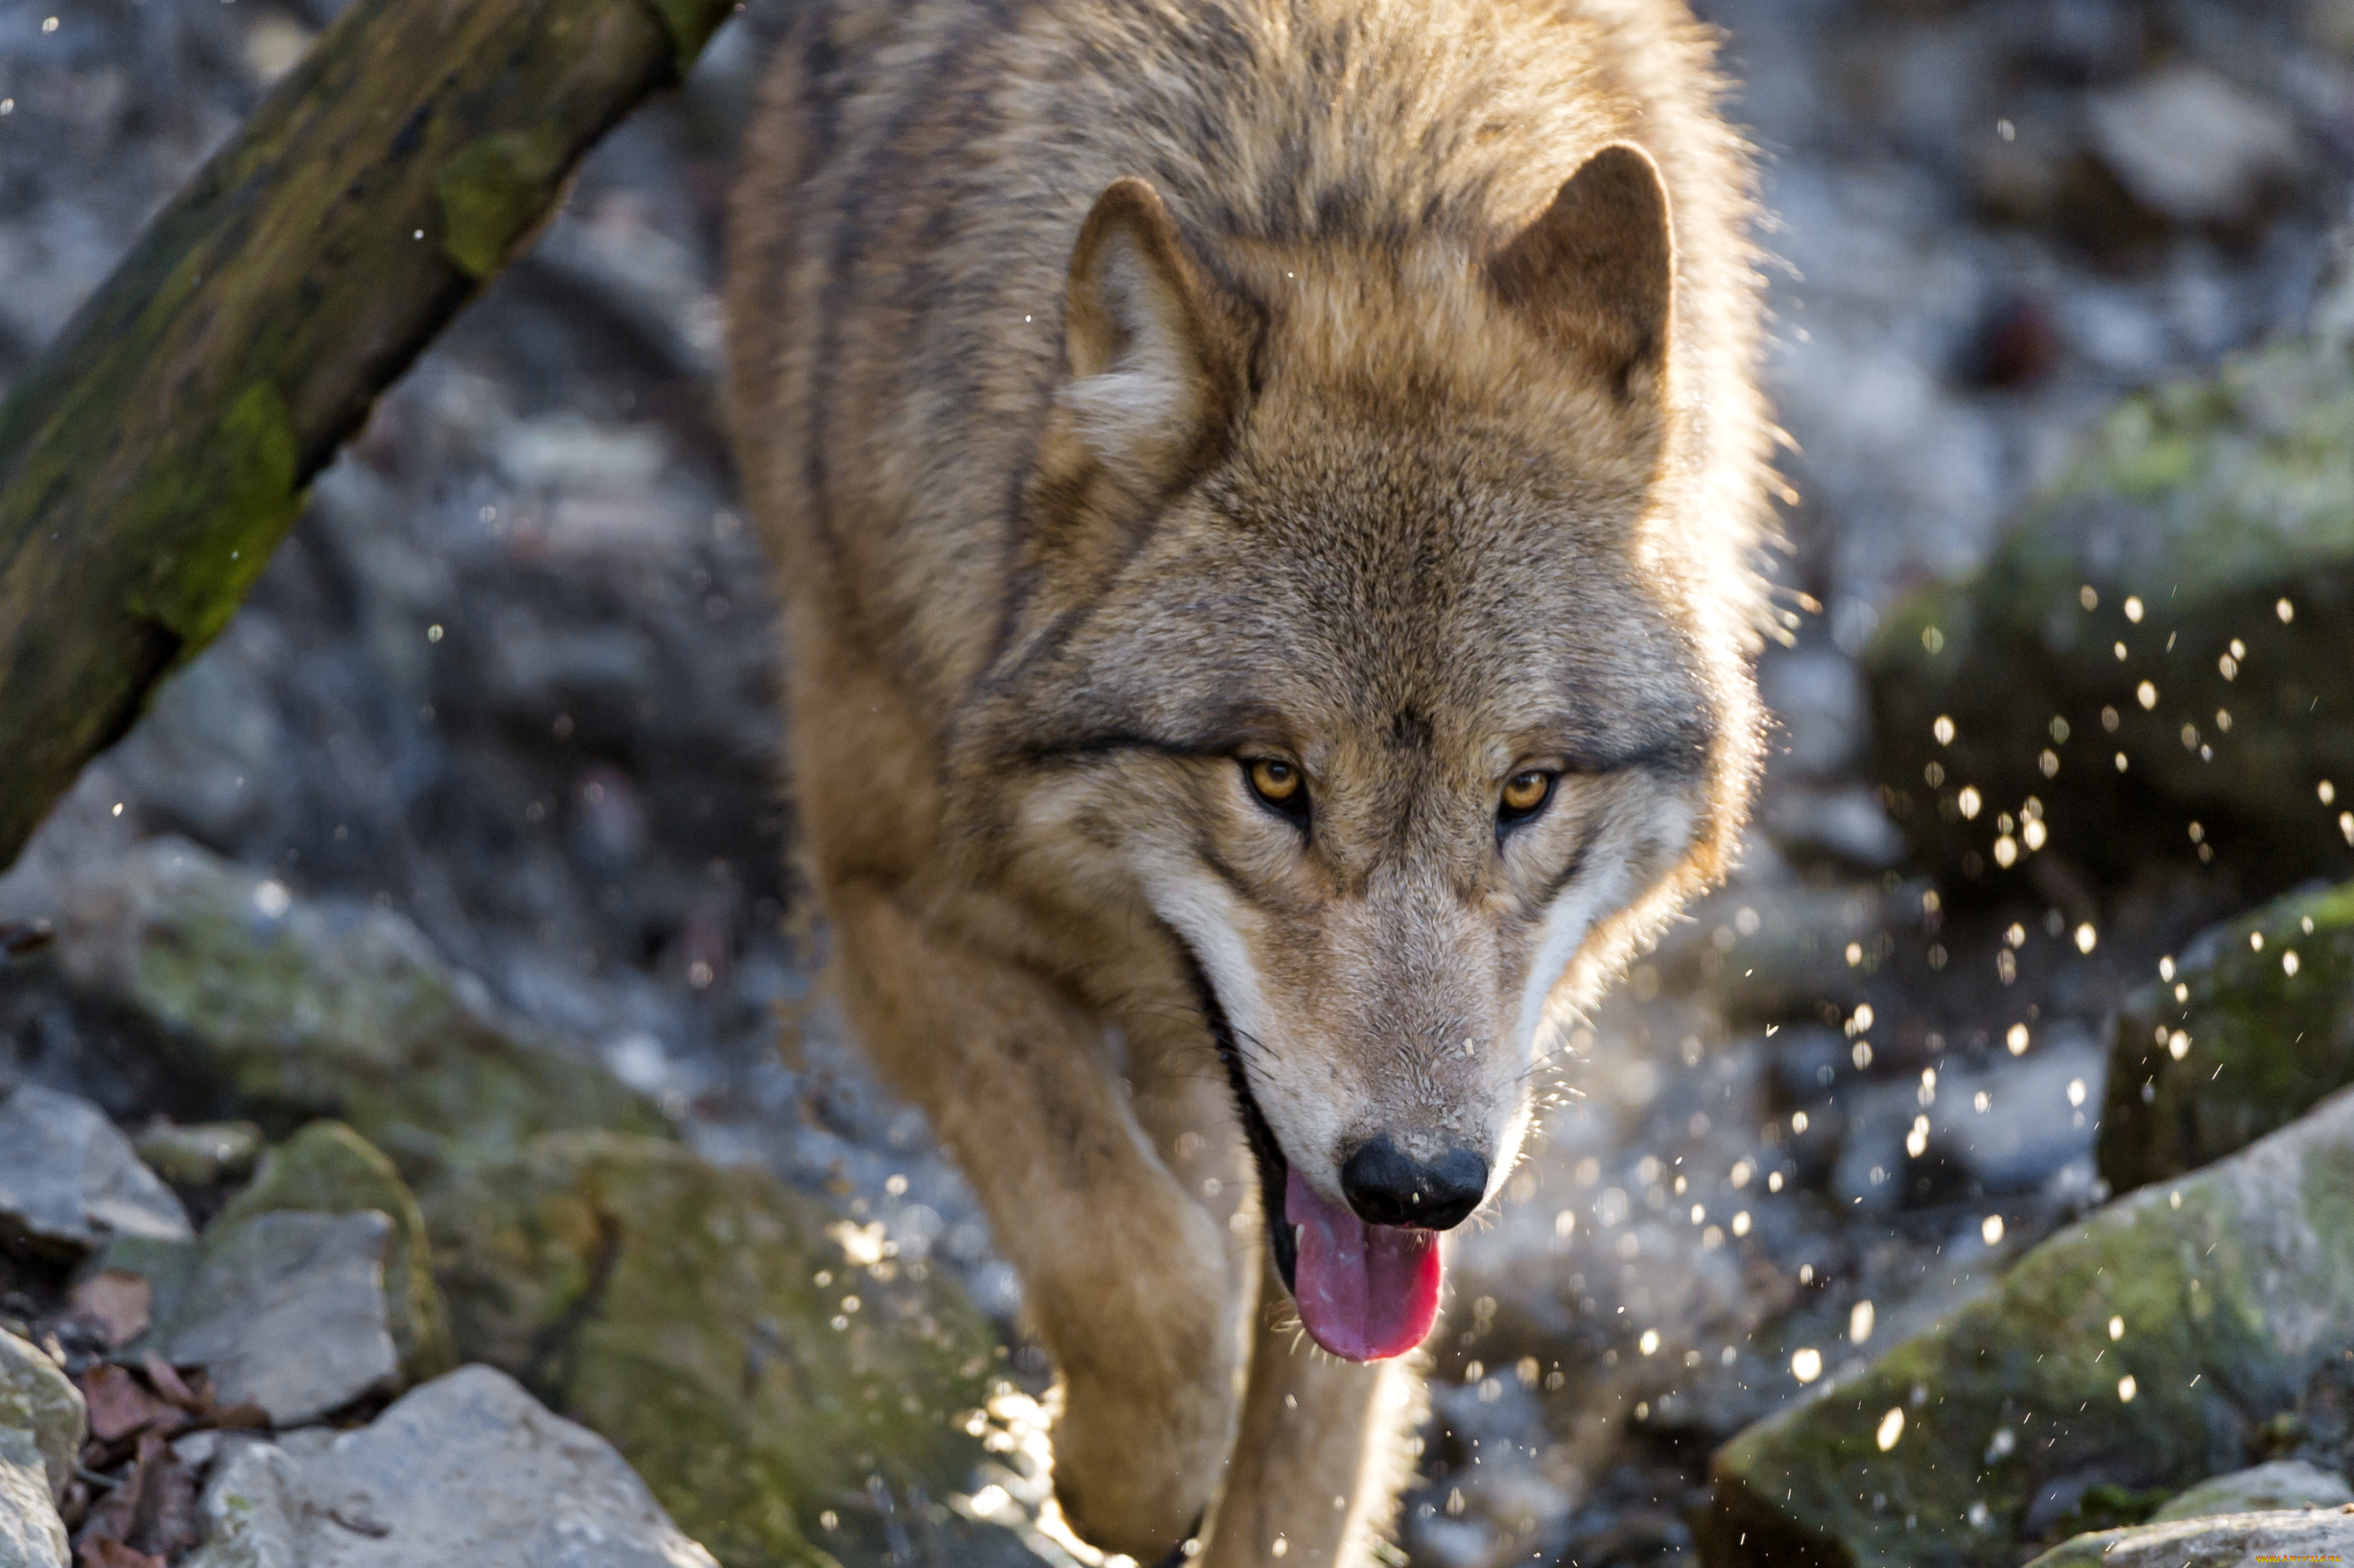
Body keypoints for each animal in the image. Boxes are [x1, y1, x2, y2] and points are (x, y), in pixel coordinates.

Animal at [725, 3, 1770, 1554]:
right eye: (1274, 778)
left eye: (1525, 791)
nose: (1421, 1182)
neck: (1337, 171)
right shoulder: (885, 900)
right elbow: (1133, 1260)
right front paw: (1120, 1475)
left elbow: (1308, 1442)